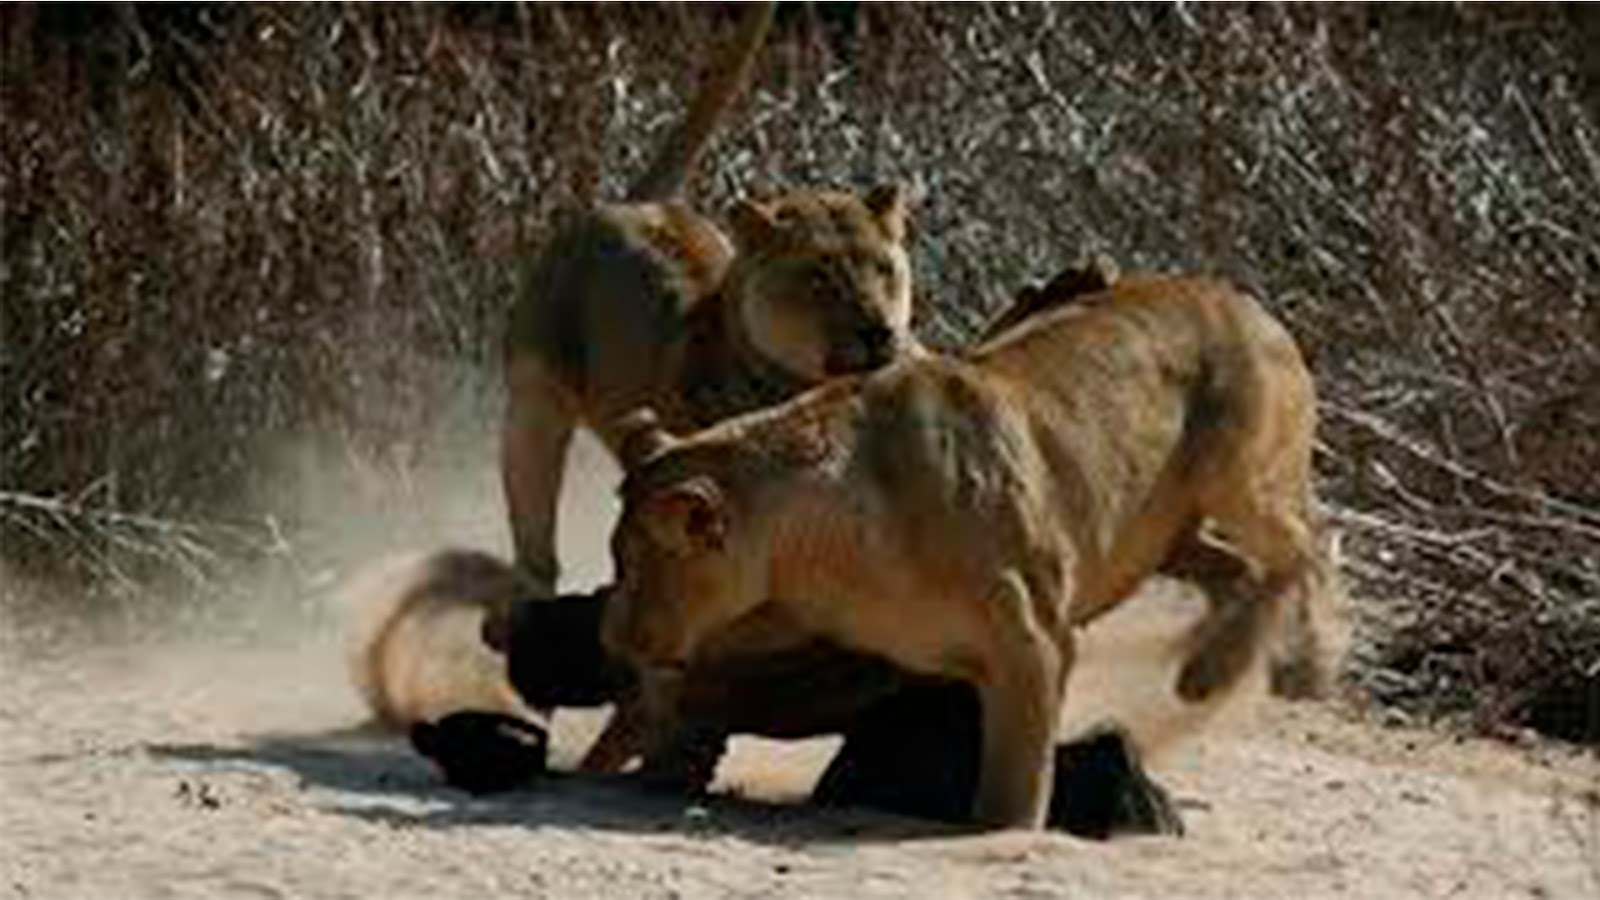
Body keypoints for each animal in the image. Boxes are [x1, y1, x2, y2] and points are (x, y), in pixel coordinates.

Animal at [505, 3, 921, 595]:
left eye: (885, 269)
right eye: (820, 277)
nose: (879, 331)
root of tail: (618, 205)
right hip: (532, 402)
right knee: (532, 524)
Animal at [601, 273, 1324, 826]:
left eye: (638, 564)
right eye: (614, 560)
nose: (616, 641)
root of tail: (1247, 301)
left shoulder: (1036, 643)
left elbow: (1015, 779)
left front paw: (1003, 831)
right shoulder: (801, 633)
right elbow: (703, 691)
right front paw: (644, 750)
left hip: (1239, 477)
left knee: (1305, 551)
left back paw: (1274, 664)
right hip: (1169, 536)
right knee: (1241, 570)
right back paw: (1210, 664)